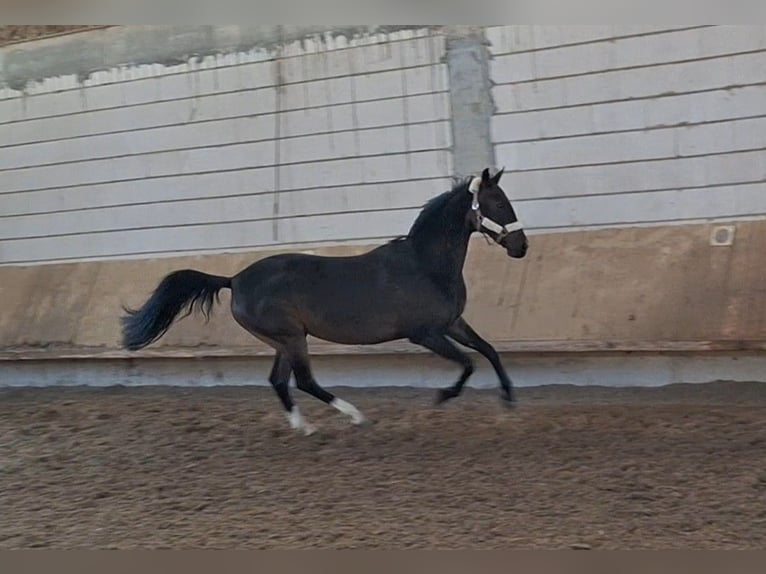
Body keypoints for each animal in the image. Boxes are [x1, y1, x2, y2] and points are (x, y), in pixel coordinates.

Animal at [121, 169, 528, 434]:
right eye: (496, 202)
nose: (521, 247)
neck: (425, 264)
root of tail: (234, 280)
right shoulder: (425, 333)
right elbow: (468, 363)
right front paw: (443, 397)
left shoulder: (452, 323)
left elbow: (488, 351)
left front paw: (508, 401)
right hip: (292, 337)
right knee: (303, 381)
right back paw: (354, 416)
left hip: (284, 340)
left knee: (279, 381)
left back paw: (305, 427)